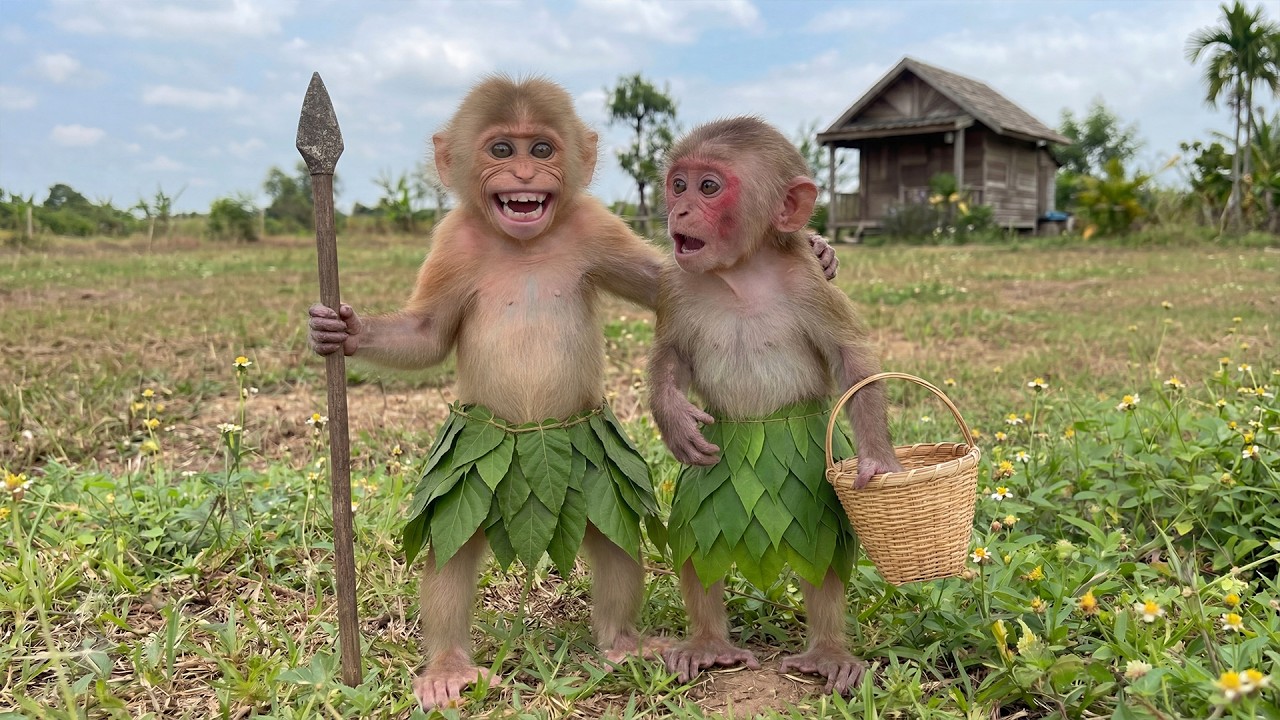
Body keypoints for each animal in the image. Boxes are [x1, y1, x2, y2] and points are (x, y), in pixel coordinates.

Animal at [307, 77, 840, 710]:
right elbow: (427, 335)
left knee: (614, 543)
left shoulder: (593, 225)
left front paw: (818, 249)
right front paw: (342, 333)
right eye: (501, 150)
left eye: (541, 149)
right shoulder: (451, 243)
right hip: (468, 478)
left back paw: (621, 643)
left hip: (592, 477)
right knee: (449, 555)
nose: (523, 176)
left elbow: (662, 282)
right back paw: (447, 668)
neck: (523, 241)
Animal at [647, 116, 904, 694]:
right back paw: (709, 643)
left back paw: (828, 651)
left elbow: (853, 362)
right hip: (711, 496)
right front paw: (673, 416)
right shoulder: (677, 284)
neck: (741, 273)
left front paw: (877, 461)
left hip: (807, 490)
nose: (679, 211)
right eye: (678, 184)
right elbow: (671, 356)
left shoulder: (808, 286)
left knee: (821, 556)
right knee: (697, 544)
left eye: (709, 187)